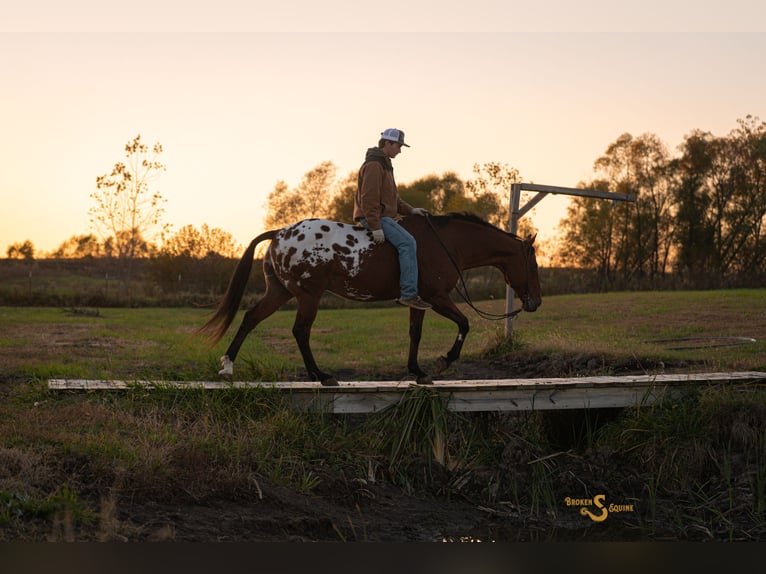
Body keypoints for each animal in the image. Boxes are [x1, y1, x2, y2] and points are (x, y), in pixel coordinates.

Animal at [197, 212, 542, 385]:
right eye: (534, 265)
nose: (536, 302)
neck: (446, 242)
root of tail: (280, 233)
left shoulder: (420, 301)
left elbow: (415, 333)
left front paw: (417, 371)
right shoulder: (437, 296)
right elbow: (465, 323)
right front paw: (444, 361)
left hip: (280, 292)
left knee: (251, 318)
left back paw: (228, 367)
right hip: (308, 296)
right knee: (301, 332)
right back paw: (320, 375)